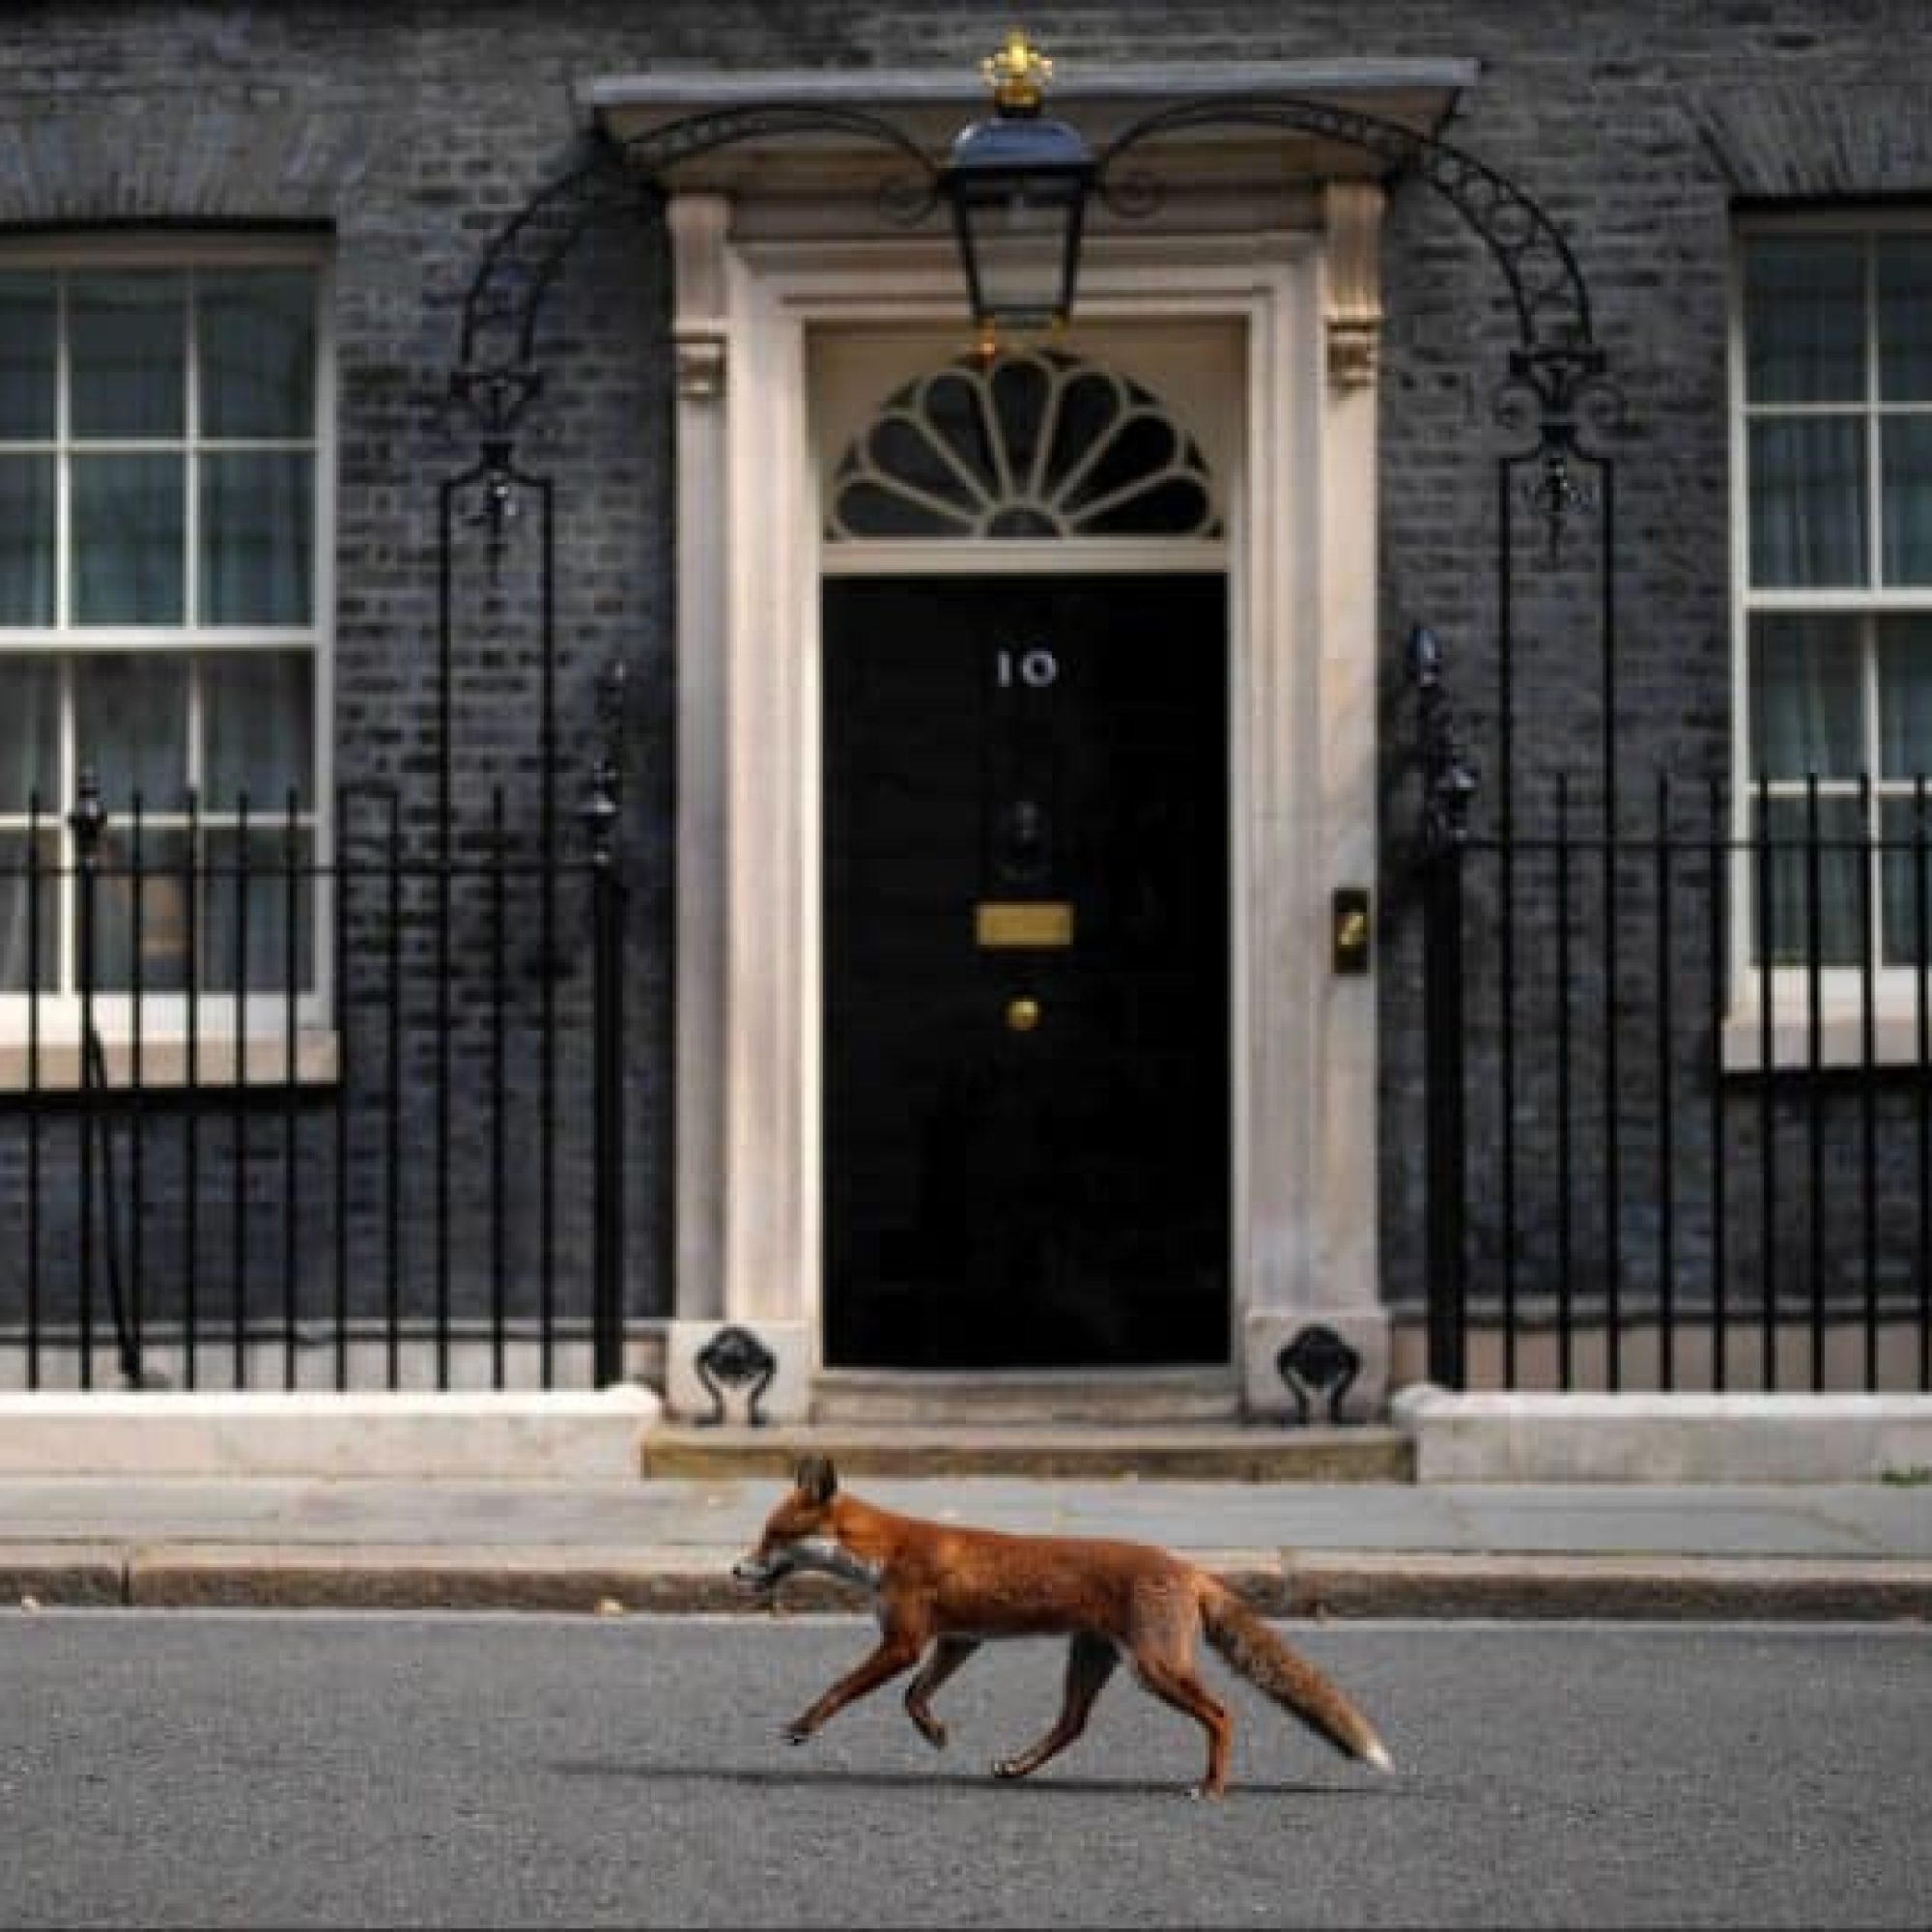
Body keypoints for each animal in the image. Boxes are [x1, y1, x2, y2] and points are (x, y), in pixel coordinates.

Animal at [730, 1456, 1392, 1798]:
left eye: (771, 1537)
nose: (736, 1569)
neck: (885, 1552)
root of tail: (1188, 1567)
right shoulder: (958, 1640)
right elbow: (914, 1698)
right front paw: (934, 1733)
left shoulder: (904, 1642)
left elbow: (842, 1690)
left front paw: (803, 1727)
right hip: (1091, 1660)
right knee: (1072, 1725)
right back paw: (1018, 1768)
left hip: (1154, 1669)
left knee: (1222, 1714)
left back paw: (1211, 1787)